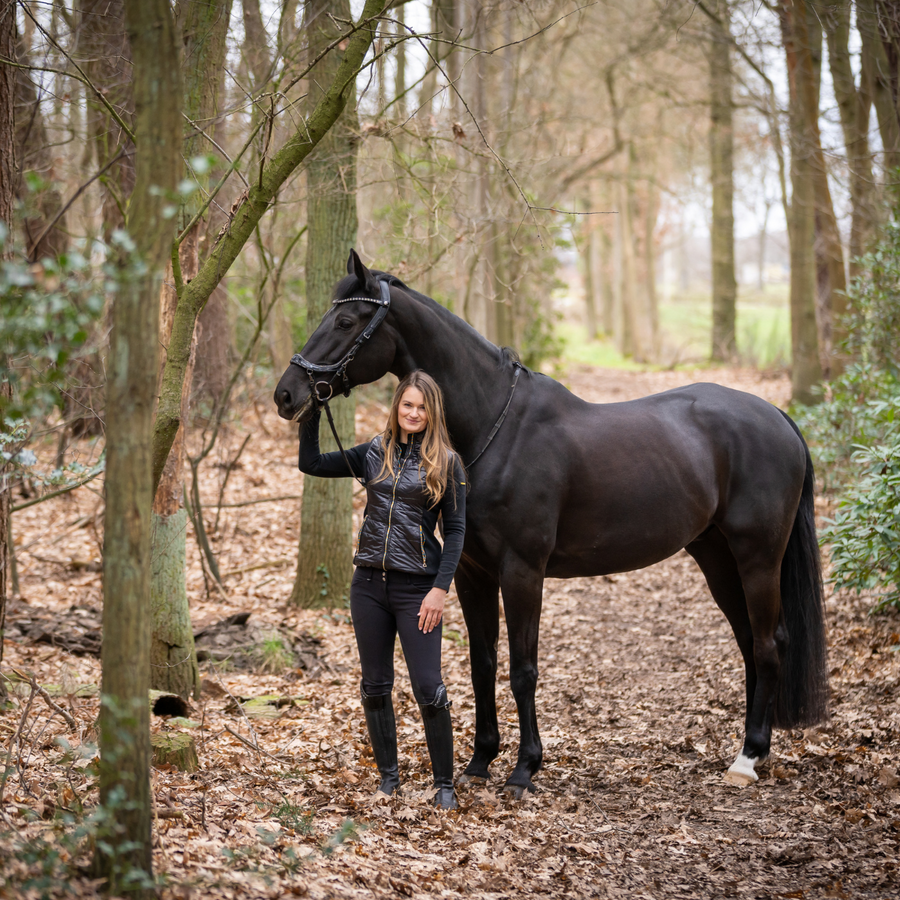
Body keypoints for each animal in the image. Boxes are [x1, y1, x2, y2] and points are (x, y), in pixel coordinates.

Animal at [274, 250, 828, 800]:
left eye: (345, 321)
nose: (287, 394)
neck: (497, 429)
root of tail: (777, 417)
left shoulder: (523, 571)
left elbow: (523, 670)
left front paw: (524, 770)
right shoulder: (472, 573)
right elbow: (483, 665)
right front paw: (480, 761)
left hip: (758, 557)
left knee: (768, 644)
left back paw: (748, 757)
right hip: (716, 556)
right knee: (750, 643)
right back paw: (755, 749)